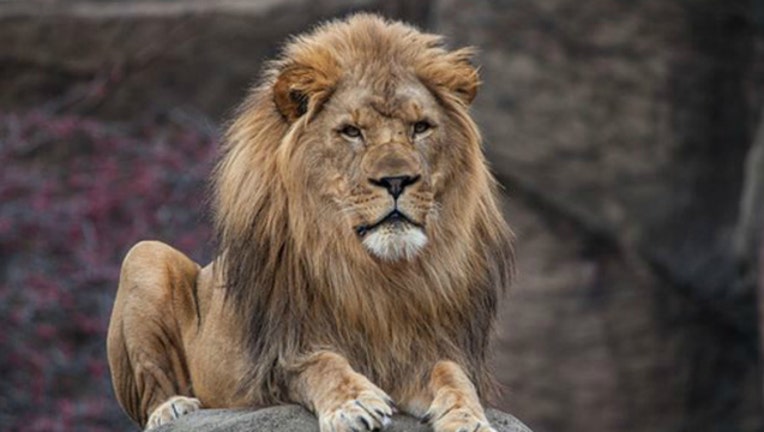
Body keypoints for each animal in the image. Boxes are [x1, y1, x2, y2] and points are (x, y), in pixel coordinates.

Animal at [106, 13, 512, 432]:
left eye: (420, 127)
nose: (397, 180)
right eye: (351, 131)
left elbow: (452, 373)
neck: (380, 276)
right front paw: (353, 403)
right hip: (145, 255)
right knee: (150, 393)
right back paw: (173, 408)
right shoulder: (279, 358)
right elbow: (320, 363)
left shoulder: (422, 350)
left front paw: (468, 416)